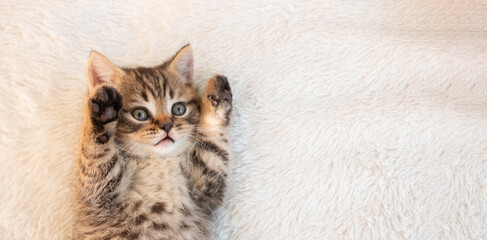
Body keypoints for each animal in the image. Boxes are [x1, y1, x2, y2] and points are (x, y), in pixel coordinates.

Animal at [74, 45, 233, 240]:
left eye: (178, 109)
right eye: (139, 114)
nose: (167, 126)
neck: (157, 161)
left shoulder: (202, 186)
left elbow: (214, 147)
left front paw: (217, 96)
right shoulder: (97, 193)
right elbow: (95, 155)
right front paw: (103, 112)